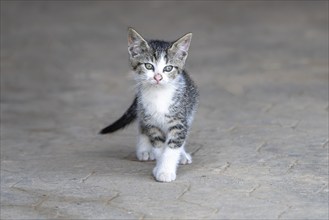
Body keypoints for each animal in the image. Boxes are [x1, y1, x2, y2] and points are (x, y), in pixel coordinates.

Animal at [99, 27, 197, 182]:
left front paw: (165, 171)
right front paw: (160, 167)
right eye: (148, 66)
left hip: (190, 108)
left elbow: (173, 146)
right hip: (143, 109)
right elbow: (159, 146)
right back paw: (144, 150)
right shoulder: (151, 122)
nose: (158, 77)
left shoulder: (179, 120)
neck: (159, 95)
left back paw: (182, 155)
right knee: (142, 125)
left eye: (168, 68)